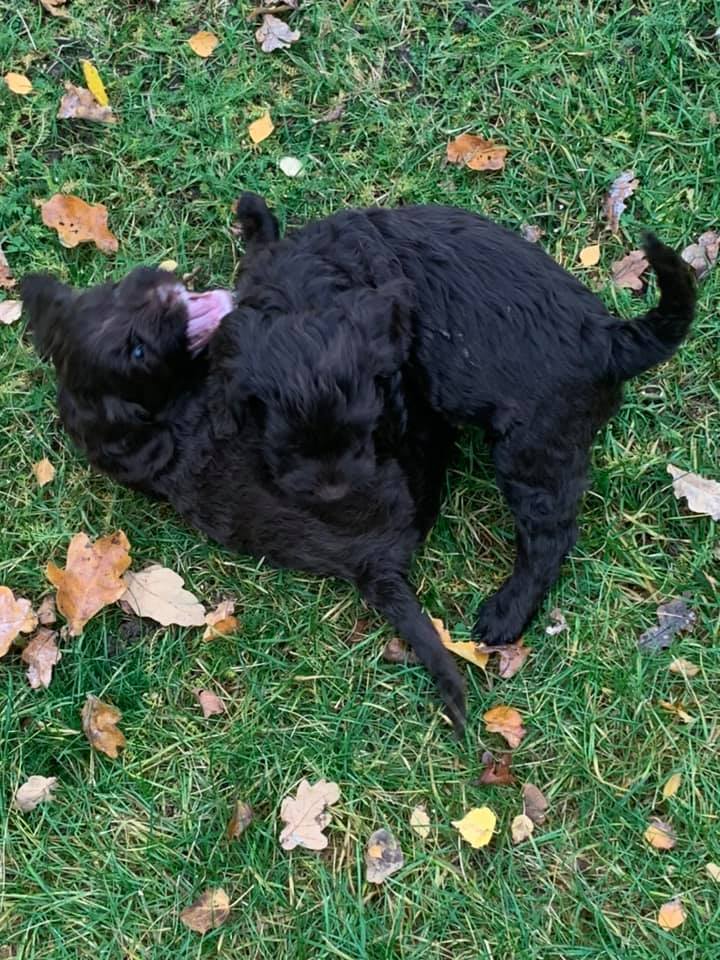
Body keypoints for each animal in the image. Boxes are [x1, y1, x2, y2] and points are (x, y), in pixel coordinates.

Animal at [216, 193, 696, 648]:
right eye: (284, 445)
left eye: (364, 435)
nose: (333, 492)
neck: (310, 287)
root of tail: (610, 341)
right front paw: (254, 217)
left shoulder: (410, 402)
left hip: (531, 451)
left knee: (549, 538)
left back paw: (505, 613)